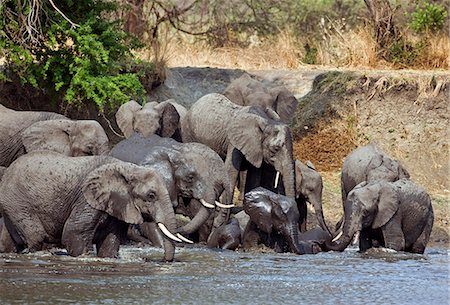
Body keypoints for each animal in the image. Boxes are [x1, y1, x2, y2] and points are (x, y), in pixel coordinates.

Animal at [0, 150, 183, 258]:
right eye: (151, 195)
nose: (163, 260)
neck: (128, 169)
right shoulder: (85, 198)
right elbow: (74, 233)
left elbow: (110, 241)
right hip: (17, 201)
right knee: (37, 236)